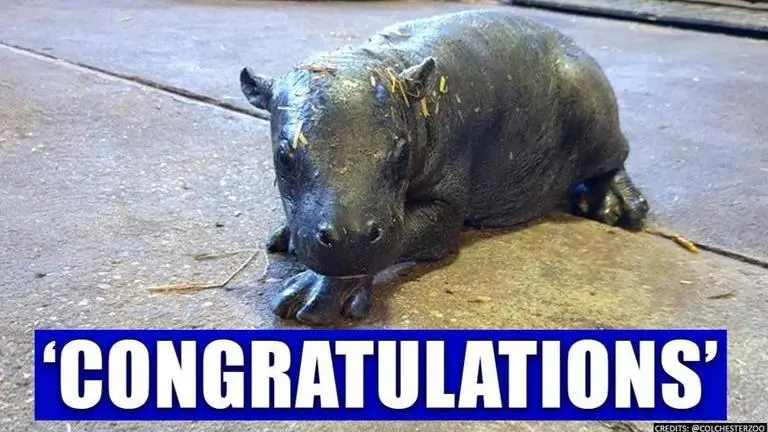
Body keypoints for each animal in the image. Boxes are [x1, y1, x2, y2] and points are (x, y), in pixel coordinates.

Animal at [239, 9, 649, 325]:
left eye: (401, 153)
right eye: (284, 155)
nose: (349, 237)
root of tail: (576, 47)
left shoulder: (445, 205)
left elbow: (416, 231)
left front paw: (309, 298)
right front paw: (286, 240)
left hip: (596, 117)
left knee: (616, 158)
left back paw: (616, 208)